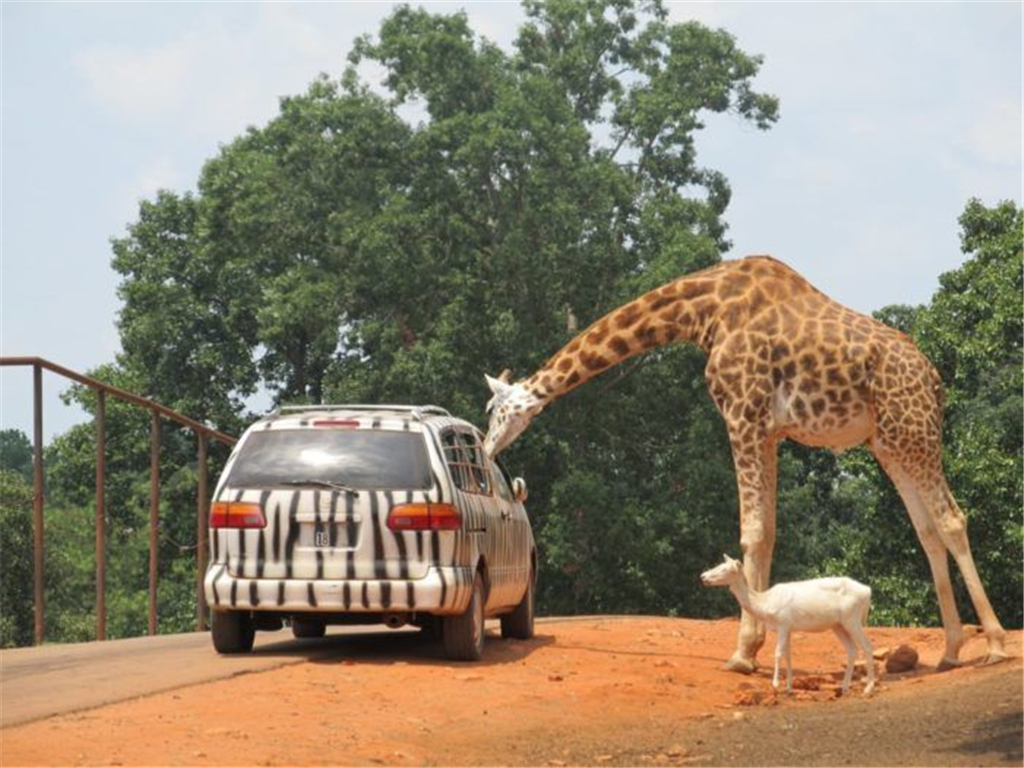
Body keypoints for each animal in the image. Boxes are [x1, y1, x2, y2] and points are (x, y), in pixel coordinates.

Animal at [481, 256, 1007, 671]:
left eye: (492, 410)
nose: (486, 450)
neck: (704, 310)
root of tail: (934, 380)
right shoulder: (769, 431)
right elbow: (768, 531)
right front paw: (752, 645)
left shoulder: (742, 414)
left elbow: (751, 531)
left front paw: (740, 653)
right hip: (890, 443)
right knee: (927, 530)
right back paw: (951, 651)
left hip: (914, 433)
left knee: (951, 519)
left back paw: (997, 644)